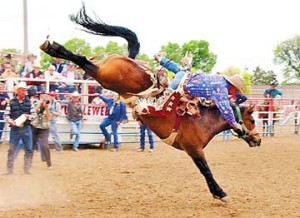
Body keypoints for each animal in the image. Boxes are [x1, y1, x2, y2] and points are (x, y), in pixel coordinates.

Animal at [39, 5, 260, 202]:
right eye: (252, 120)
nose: (258, 140)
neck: (202, 120)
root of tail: (130, 60)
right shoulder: (194, 149)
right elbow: (206, 170)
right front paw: (221, 193)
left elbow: (205, 170)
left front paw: (218, 193)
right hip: (104, 76)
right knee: (83, 60)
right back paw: (52, 47)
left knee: (84, 61)